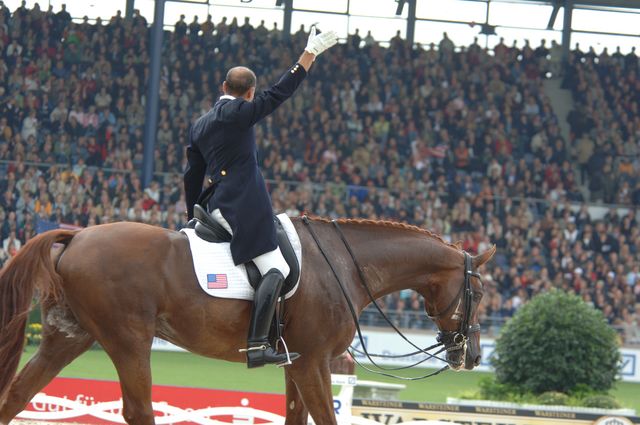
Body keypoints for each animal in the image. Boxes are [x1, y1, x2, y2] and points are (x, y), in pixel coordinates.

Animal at [0, 216, 495, 425]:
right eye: (481, 294)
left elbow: (298, 418)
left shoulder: (297, 364)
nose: (471, 356)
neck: (344, 264)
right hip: (128, 341)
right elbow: (325, 419)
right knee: (138, 409)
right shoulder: (313, 362)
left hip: (69, 337)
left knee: (17, 395)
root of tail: (77, 236)